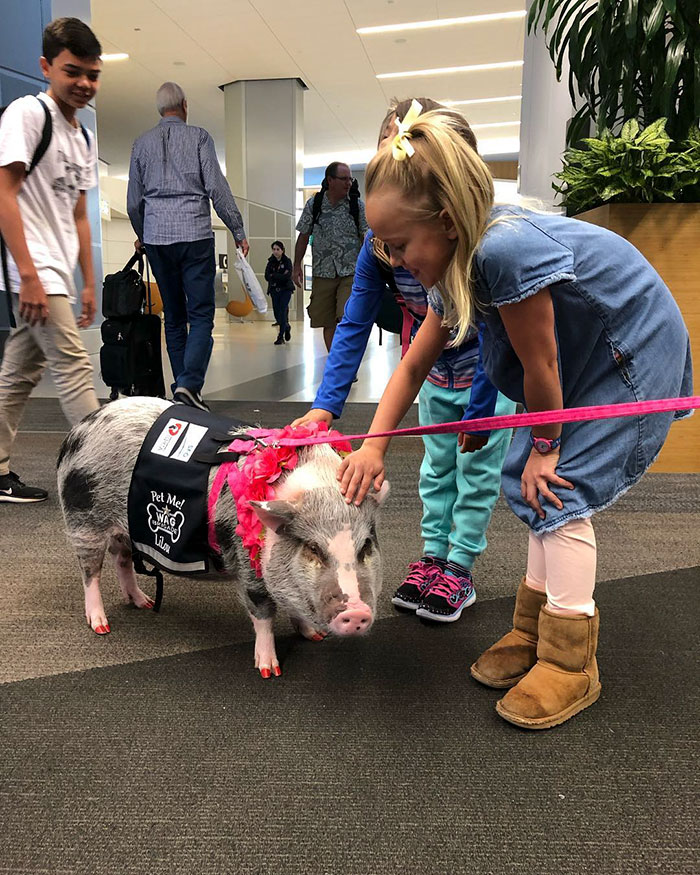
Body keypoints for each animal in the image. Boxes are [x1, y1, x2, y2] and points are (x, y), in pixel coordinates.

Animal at [56, 396, 388, 676]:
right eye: (313, 548)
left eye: (365, 547)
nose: (356, 612)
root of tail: (79, 429)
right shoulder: (246, 563)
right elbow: (262, 614)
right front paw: (269, 670)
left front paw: (314, 637)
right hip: (83, 519)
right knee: (90, 572)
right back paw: (101, 626)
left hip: (125, 531)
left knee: (122, 561)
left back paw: (144, 603)